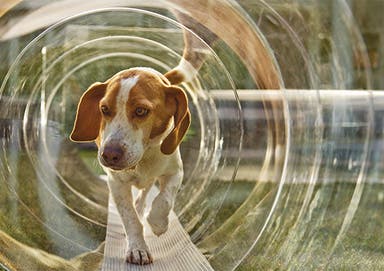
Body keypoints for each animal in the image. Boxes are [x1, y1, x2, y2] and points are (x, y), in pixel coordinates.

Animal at [70, 68, 190, 266]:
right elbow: (131, 218)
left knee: (145, 196)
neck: (143, 158)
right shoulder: (116, 183)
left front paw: (158, 224)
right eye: (104, 109)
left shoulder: (175, 172)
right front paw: (138, 249)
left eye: (141, 111)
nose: (109, 155)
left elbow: (164, 200)